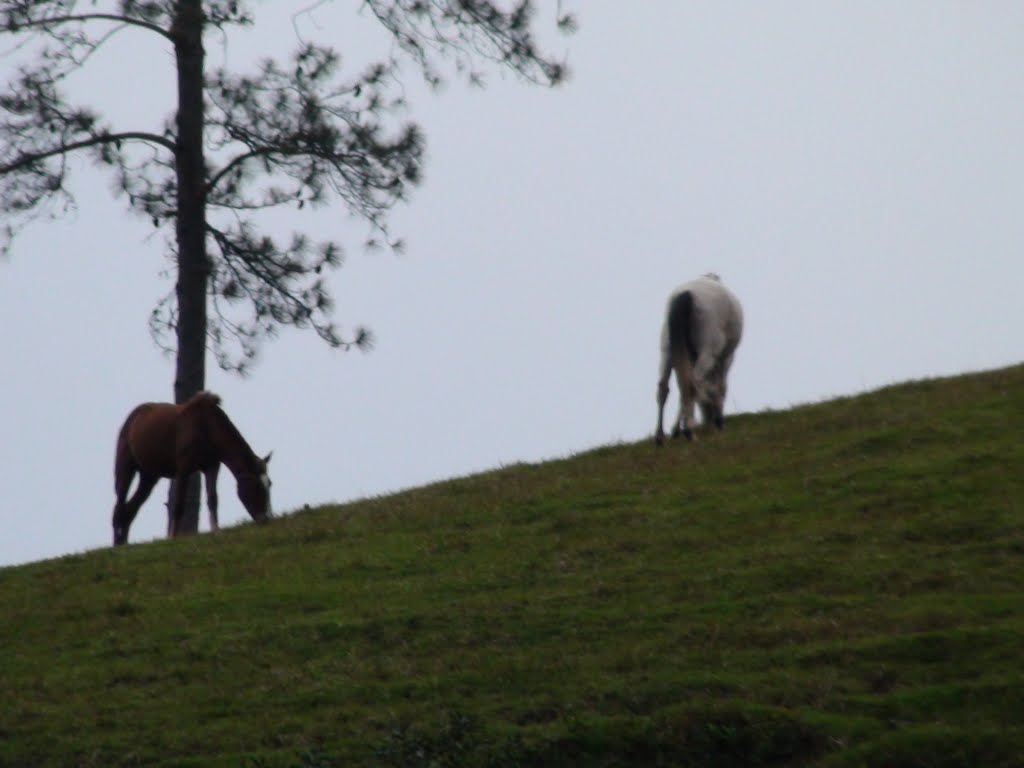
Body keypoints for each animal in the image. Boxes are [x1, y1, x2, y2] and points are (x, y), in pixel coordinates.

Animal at [111, 391, 272, 548]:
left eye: (269, 484)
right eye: (256, 486)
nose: (265, 519)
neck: (206, 426)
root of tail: (132, 417)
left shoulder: (212, 467)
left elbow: (213, 498)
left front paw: (216, 531)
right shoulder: (183, 468)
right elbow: (179, 504)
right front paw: (173, 537)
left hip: (149, 476)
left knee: (130, 509)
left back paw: (124, 542)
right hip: (125, 468)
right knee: (119, 506)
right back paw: (116, 544)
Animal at [655, 274, 745, 444]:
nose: (707, 419)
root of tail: (686, 294)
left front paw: (676, 429)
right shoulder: (726, 358)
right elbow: (720, 387)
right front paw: (718, 420)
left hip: (667, 351)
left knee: (665, 387)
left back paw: (660, 437)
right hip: (708, 352)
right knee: (693, 383)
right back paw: (690, 430)